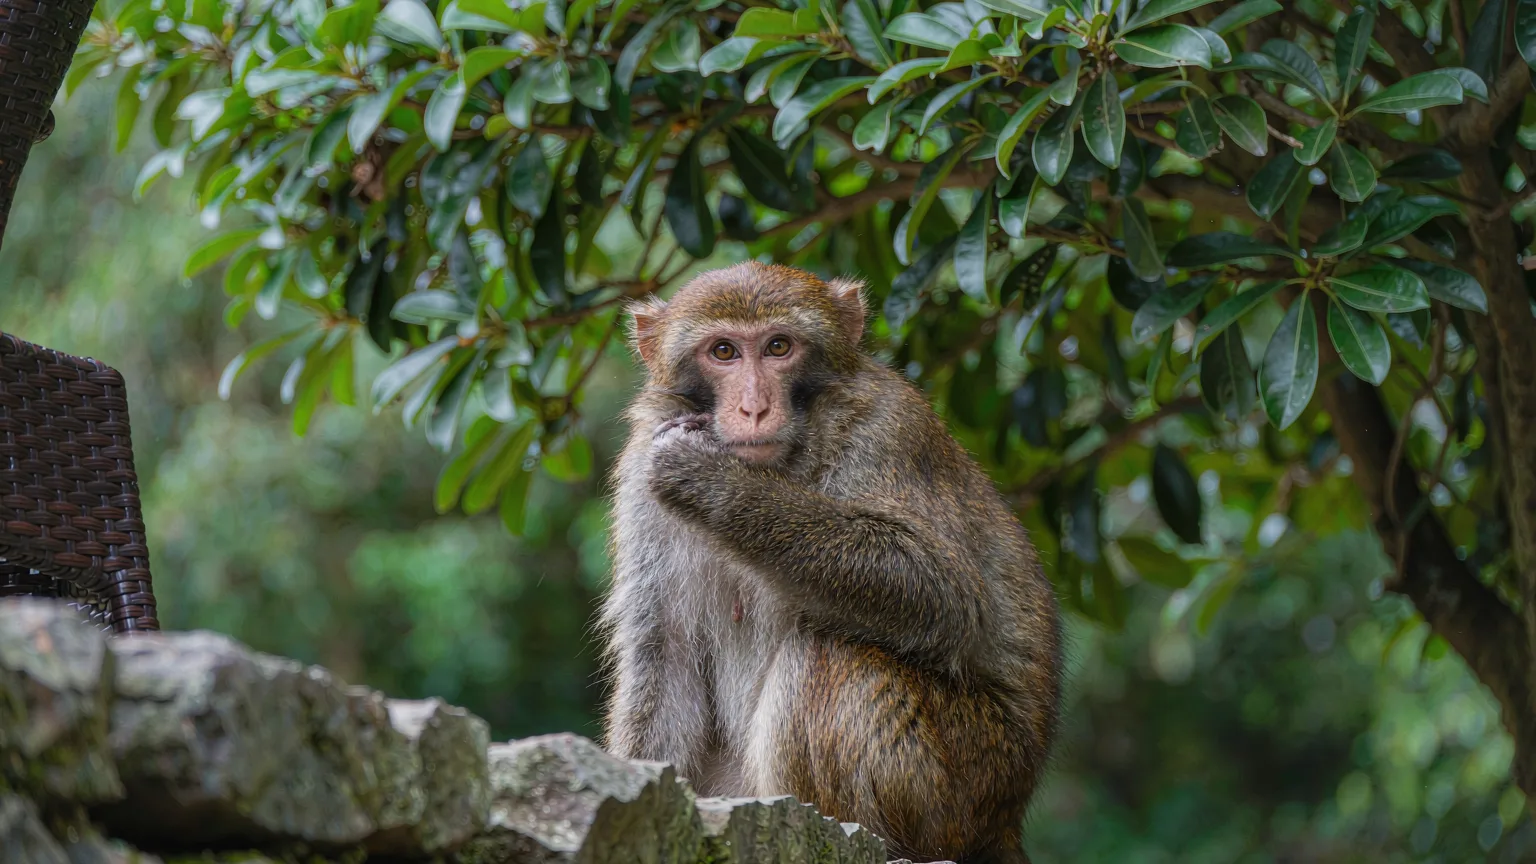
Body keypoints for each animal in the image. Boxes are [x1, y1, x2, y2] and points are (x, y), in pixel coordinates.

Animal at [598, 262, 1062, 864]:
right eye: (723, 351)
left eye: (778, 347)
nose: (753, 408)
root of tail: (1005, 820)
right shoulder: (639, 475)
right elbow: (665, 652)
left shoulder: (888, 427)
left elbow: (944, 593)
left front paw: (715, 483)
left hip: (962, 780)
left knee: (830, 654)